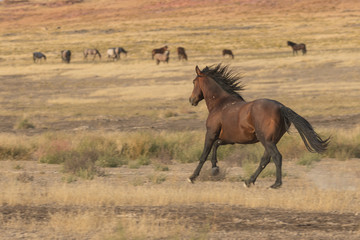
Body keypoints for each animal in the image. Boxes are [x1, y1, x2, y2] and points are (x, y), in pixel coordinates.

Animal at [188, 64, 330, 188]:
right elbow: (216, 146)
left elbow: (204, 154)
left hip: (266, 140)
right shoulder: (228, 139)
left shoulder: (210, 133)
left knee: (276, 157)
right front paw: (215, 169)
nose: (191, 100)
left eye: (194, 82)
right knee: (265, 159)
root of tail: (281, 107)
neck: (220, 104)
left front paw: (192, 177)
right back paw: (249, 181)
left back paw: (275, 184)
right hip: (270, 141)